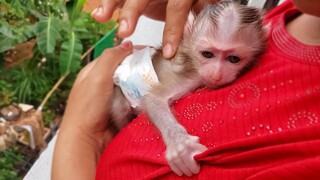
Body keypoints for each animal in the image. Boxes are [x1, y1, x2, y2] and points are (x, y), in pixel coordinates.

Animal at [111, 0, 266, 177]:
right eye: (207, 54)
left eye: (234, 59)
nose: (217, 74)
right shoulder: (191, 76)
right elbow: (153, 99)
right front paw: (181, 146)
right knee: (120, 110)